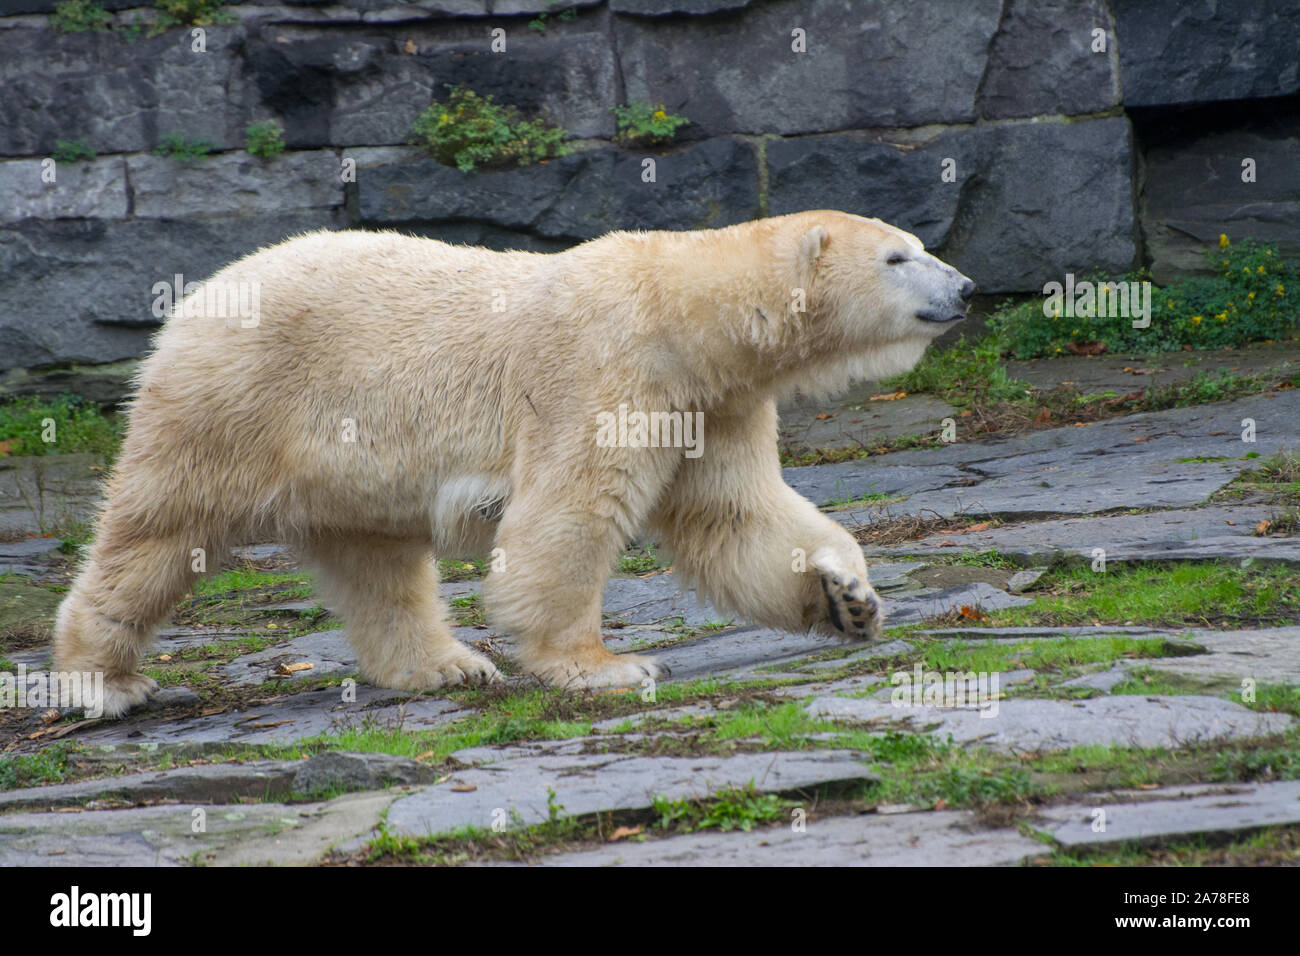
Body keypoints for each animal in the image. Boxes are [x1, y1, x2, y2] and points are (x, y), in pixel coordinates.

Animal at [53, 210, 977, 717]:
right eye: (899, 257)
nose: (966, 287)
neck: (681, 314)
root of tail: (199, 298)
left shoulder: (712, 405)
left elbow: (735, 516)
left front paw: (849, 598)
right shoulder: (602, 372)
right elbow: (568, 518)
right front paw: (605, 666)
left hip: (346, 459)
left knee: (376, 563)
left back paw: (447, 665)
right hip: (233, 404)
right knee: (160, 532)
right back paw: (102, 684)